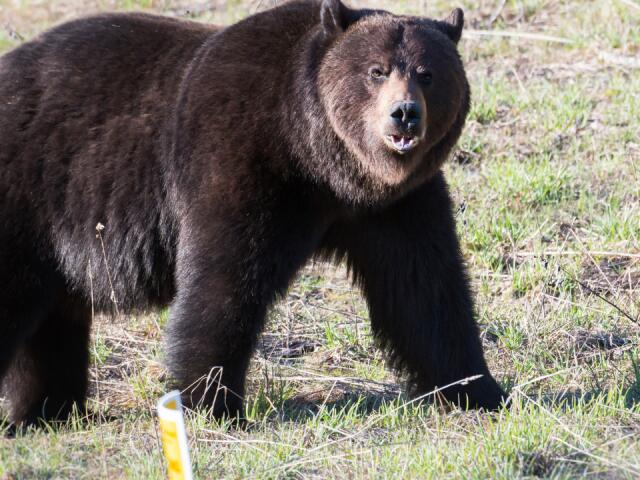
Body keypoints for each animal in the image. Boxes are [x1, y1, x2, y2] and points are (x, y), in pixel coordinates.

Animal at [0, 0, 506, 426]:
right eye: (376, 71)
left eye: (427, 73)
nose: (405, 114)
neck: (323, 161)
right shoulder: (239, 158)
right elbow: (222, 281)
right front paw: (211, 402)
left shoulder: (396, 206)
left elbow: (426, 290)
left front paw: (479, 390)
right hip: (32, 191)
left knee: (51, 326)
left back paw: (45, 411)